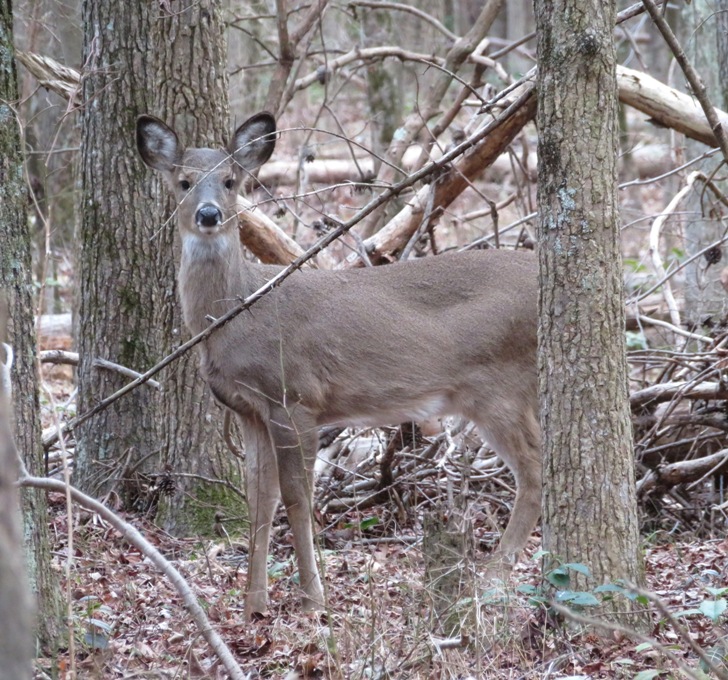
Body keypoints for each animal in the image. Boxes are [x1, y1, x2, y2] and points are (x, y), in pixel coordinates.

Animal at [136, 110, 540, 616]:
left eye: (231, 181)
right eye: (184, 182)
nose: (209, 215)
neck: (238, 311)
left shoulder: (295, 397)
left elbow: (296, 499)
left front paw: (312, 598)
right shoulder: (250, 410)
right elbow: (259, 501)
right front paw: (254, 605)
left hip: (499, 388)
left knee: (535, 471)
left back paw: (490, 580)